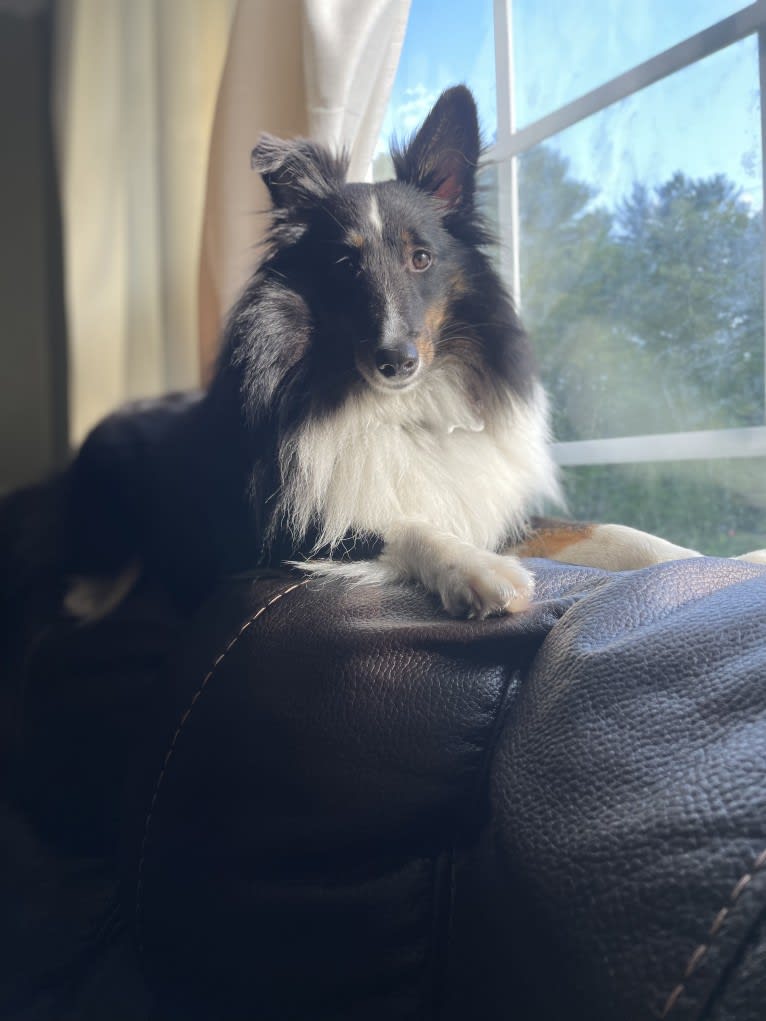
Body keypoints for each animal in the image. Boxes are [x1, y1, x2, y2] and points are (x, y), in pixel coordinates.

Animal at [52, 85, 763, 620]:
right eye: (344, 266)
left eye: (421, 257)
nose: (397, 362)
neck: (401, 408)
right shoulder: (282, 531)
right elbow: (401, 522)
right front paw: (479, 572)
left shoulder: (499, 505)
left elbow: (611, 531)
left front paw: (726, 562)